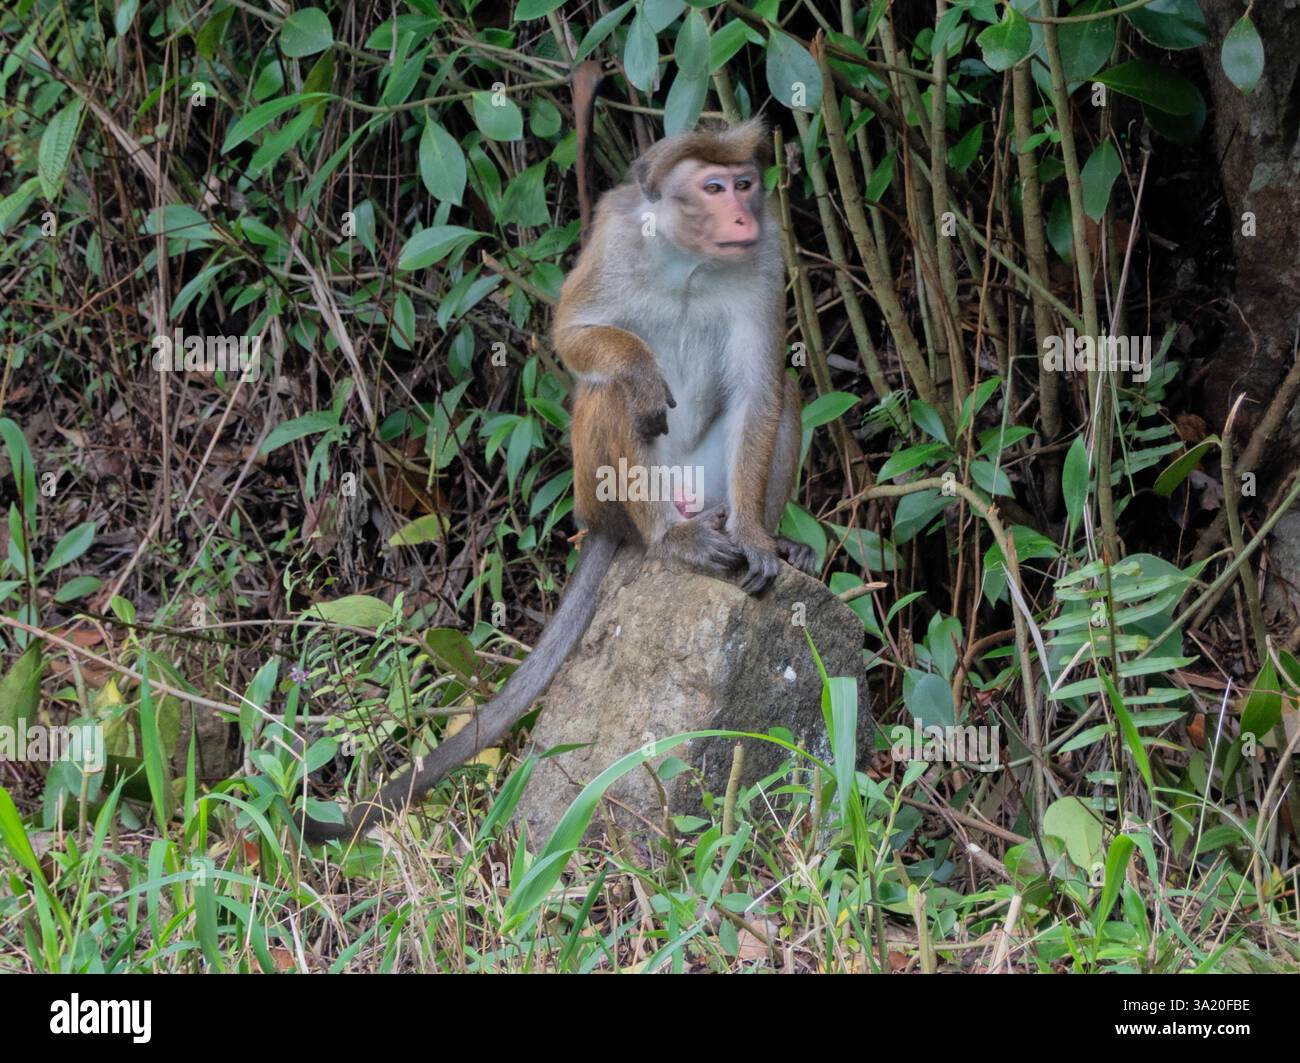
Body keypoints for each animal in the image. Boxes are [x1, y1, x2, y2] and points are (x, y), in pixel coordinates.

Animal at [298, 119, 815, 844]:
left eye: (744, 184)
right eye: (714, 188)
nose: (742, 213)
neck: (686, 257)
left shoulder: (764, 258)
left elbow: (761, 390)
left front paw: (759, 539)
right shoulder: (616, 235)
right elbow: (573, 335)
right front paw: (640, 370)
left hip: (703, 483)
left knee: (784, 393)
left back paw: (758, 534)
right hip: (602, 498)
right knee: (611, 392)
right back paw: (670, 538)